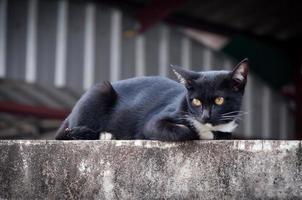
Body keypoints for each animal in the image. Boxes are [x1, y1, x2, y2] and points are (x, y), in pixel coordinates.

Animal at [55, 58, 249, 140]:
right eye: (196, 101)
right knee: (65, 134)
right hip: (99, 90)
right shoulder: (154, 121)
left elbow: (224, 134)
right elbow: (182, 131)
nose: (205, 116)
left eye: (219, 100)